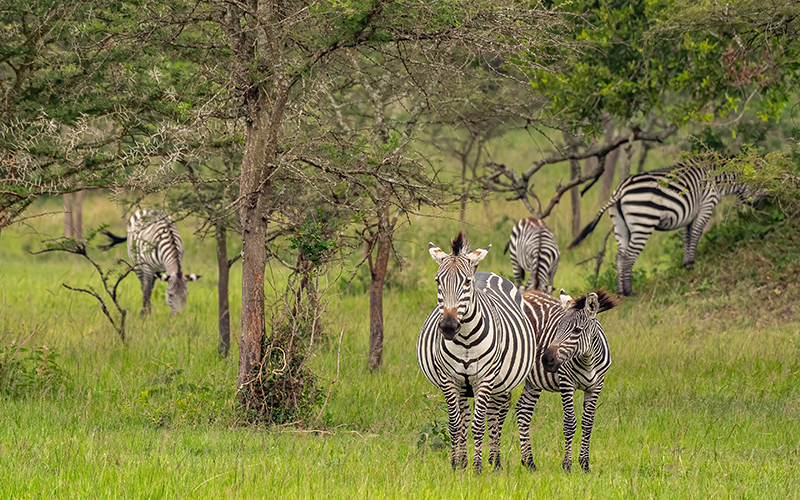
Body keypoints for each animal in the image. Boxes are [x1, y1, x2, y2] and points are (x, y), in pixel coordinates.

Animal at [417, 232, 536, 473]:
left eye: (466, 282)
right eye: (438, 281)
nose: (448, 327)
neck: (465, 340)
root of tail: (483, 271)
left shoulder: (485, 377)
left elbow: (479, 425)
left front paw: (478, 467)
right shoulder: (449, 378)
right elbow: (455, 424)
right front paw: (456, 464)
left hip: (501, 383)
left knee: (496, 416)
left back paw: (495, 462)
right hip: (465, 386)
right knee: (467, 417)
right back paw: (465, 460)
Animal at [515, 288, 618, 473]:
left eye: (577, 330)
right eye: (557, 328)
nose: (546, 359)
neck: (588, 361)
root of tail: (526, 294)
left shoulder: (596, 386)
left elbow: (588, 423)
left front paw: (585, 464)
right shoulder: (566, 383)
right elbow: (570, 424)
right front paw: (567, 465)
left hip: (533, 381)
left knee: (523, 411)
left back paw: (529, 462)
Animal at [568, 160, 760, 295]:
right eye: (759, 184)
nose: (762, 204)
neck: (717, 178)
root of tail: (620, 190)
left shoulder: (689, 214)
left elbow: (687, 237)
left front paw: (686, 265)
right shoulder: (707, 205)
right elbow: (697, 234)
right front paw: (691, 263)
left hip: (619, 224)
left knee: (619, 256)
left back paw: (620, 291)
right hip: (643, 222)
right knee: (628, 256)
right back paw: (629, 292)